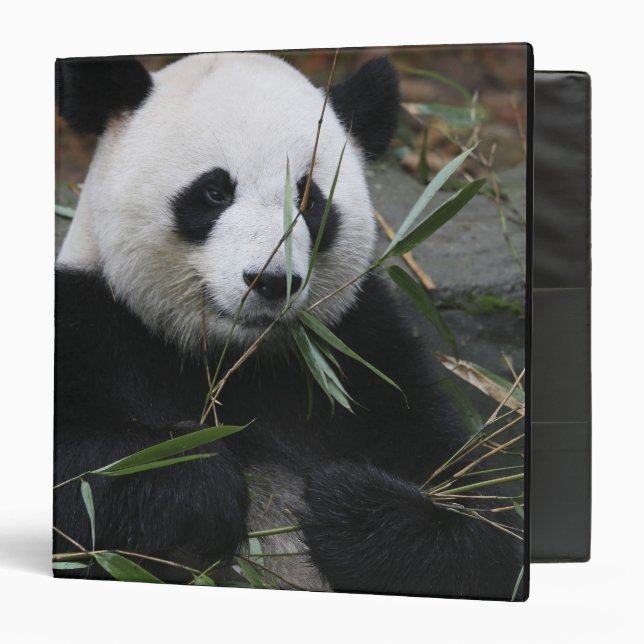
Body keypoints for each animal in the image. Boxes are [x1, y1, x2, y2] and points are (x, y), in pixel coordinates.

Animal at [54, 52, 521, 598]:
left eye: (308, 200)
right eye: (214, 192)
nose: (272, 281)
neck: (236, 358)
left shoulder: (363, 351)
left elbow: (484, 522)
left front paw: (345, 505)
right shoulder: (92, 325)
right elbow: (82, 477)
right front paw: (200, 479)